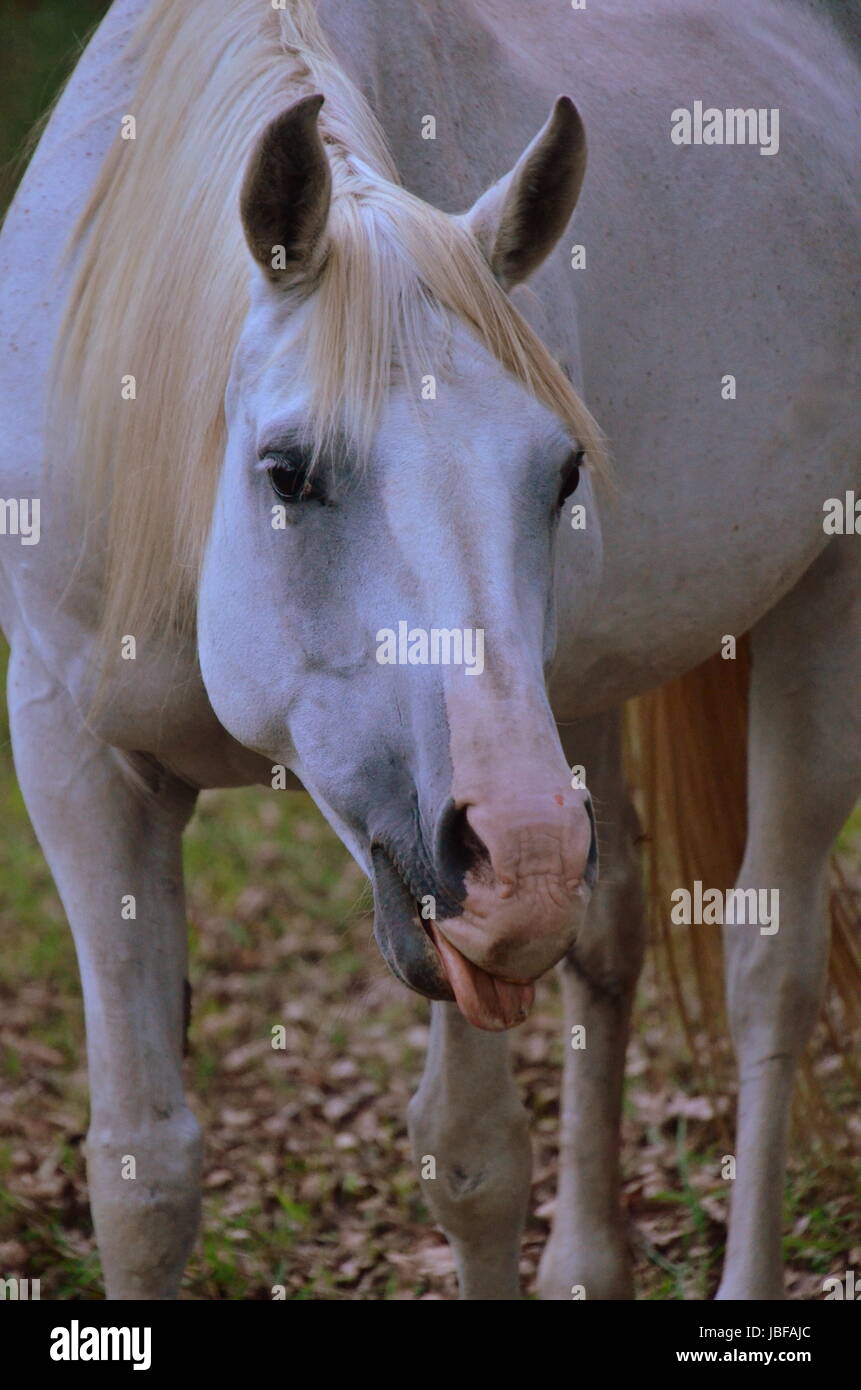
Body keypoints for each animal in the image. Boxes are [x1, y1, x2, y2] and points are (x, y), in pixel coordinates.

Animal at [0, 0, 858, 1300]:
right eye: (288, 472)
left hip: (809, 614)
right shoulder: (78, 763)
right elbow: (142, 1176)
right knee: (612, 932)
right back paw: (589, 1262)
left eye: (561, 471)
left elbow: (472, 1159)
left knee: (770, 970)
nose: (520, 864)